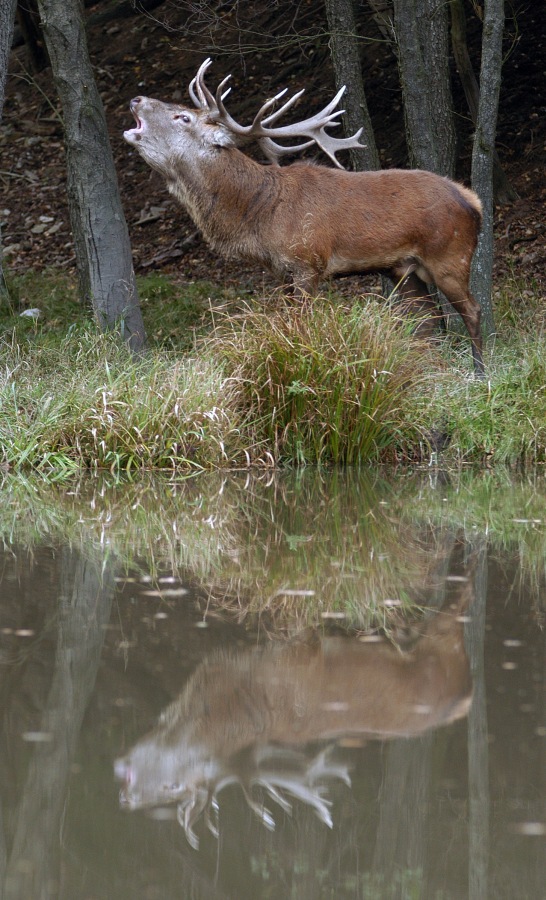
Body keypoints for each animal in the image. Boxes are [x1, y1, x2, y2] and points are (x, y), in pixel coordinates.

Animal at [124, 59, 485, 375]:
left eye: (182, 117)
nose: (137, 99)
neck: (260, 215)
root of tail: (473, 200)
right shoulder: (282, 271)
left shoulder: (308, 262)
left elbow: (302, 325)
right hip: (405, 270)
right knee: (430, 321)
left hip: (450, 255)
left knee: (472, 310)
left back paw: (480, 374)